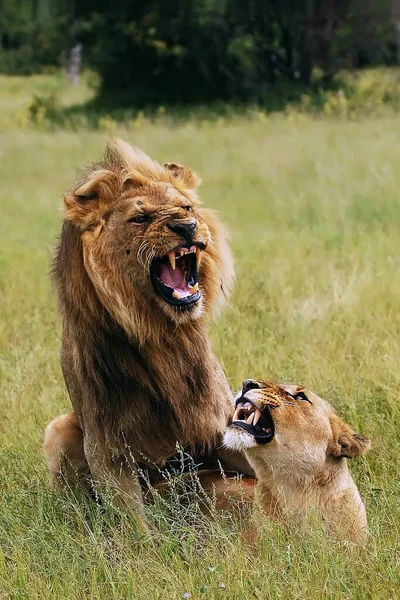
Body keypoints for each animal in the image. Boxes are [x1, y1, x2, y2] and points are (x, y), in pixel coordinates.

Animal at [44, 138, 239, 528]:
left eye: (186, 207)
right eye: (141, 218)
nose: (186, 226)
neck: (162, 337)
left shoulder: (219, 423)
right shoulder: (108, 450)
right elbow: (133, 526)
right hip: (58, 429)